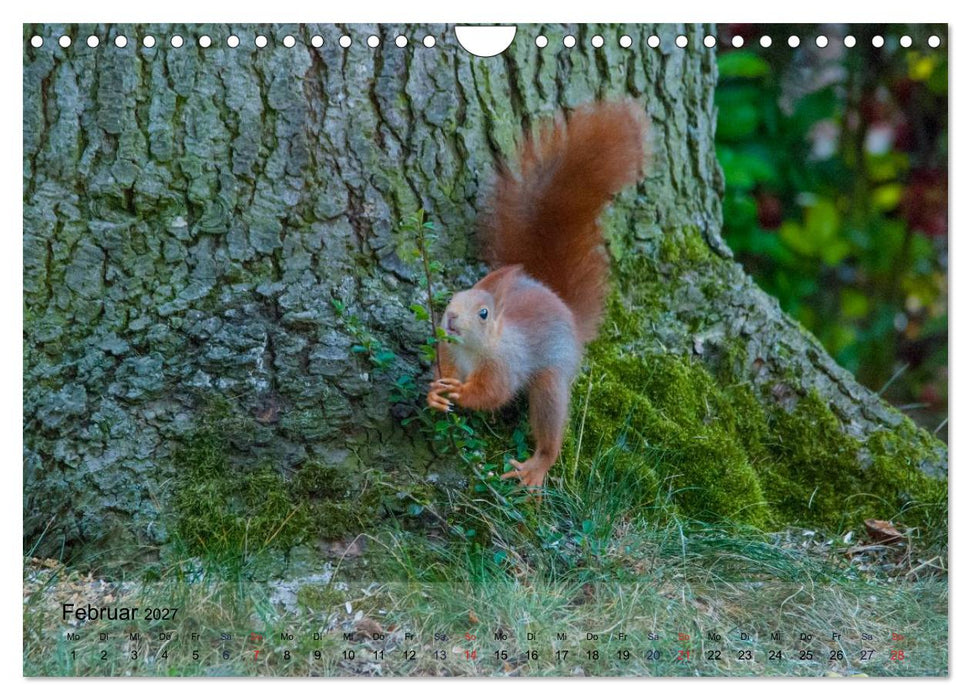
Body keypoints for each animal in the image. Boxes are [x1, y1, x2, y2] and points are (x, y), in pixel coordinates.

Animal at [426, 100, 649, 488]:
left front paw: (462, 394)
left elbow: (493, 393)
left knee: (550, 425)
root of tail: (569, 313)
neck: (473, 350)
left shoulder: (505, 366)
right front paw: (435, 393)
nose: (451, 318)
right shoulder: (448, 352)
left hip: (552, 378)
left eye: (483, 313)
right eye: (454, 297)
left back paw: (536, 467)